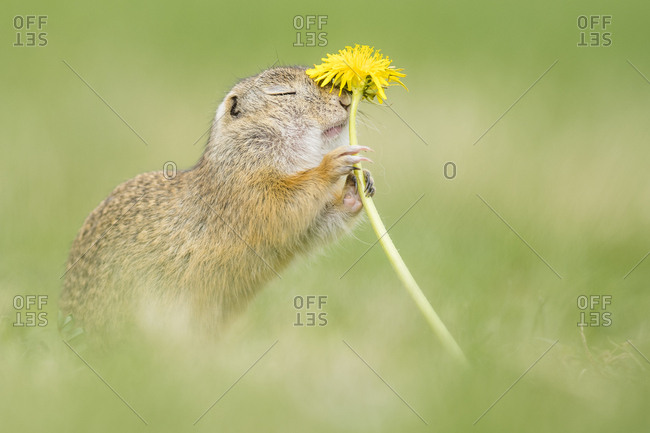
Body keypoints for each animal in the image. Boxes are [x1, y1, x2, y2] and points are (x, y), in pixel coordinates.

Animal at [59, 66, 375, 339]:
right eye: (283, 93)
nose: (346, 99)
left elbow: (313, 226)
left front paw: (357, 186)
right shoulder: (247, 191)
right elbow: (284, 204)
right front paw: (333, 164)